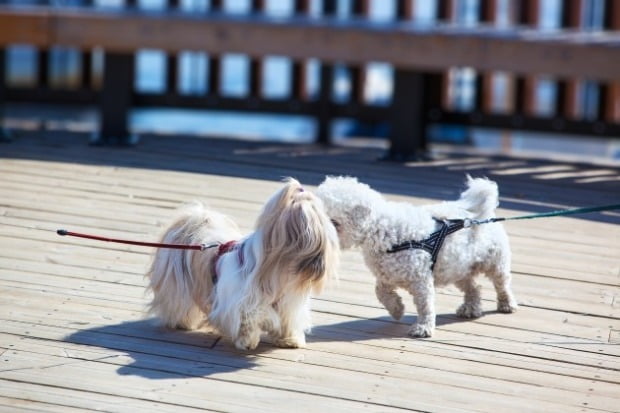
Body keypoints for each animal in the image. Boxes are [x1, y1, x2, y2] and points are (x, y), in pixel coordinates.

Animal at [145, 179, 340, 350]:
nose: (335, 222)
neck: (278, 267)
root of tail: (190, 223)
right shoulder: (240, 302)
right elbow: (254, 317)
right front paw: (249, 341)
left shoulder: (288, 302)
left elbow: (287, 319)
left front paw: (289, 339)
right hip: (178, 286)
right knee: (178, 304)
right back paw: (183, 323)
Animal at [318, 174, 516, 338]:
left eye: (334, 222)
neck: (383, 229)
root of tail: (481, 215)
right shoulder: (387, 274)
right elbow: (380, 292)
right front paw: (397, 309)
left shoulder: (421, 280)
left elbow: (425, 304)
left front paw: (423, 328)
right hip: (459, 269)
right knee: (474, 288)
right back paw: (470, 308)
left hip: (495, 263)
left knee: (502, 284)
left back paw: (507, 304)